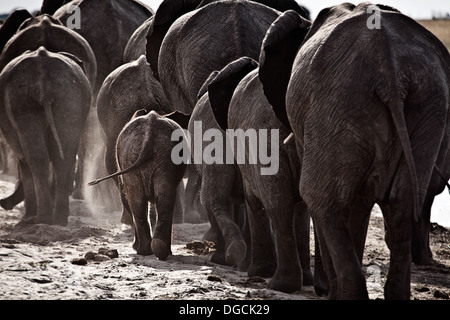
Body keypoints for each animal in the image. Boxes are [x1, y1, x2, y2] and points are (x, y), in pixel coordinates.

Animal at [0, 47, 91, 226]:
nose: (5, 204)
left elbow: (23, 159)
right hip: (69, 99)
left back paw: (39, 218)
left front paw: (27, 219)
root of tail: (44, 81)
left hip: (21, 101)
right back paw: (58, 219)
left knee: (35, 157)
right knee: (63, 156)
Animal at [88, 110, 186, 260]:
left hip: (148, 156)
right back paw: (154, 250)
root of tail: (150, 128)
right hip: (151, 156)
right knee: (155, 198)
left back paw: (148, 250)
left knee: (142, 200)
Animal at [207, 57, 312, 292]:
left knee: (278, 204)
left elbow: (253, 201)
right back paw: (299, 281)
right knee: (297, 205)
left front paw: (255, 271)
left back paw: (279, 283)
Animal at [260, 6, 450, 298]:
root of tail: (392, 71)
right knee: (403, 202)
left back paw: (345, 293)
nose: (320, 289)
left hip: (337, 102)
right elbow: (362, 201)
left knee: (322, 199)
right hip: (426, 105)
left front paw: (326, 290)